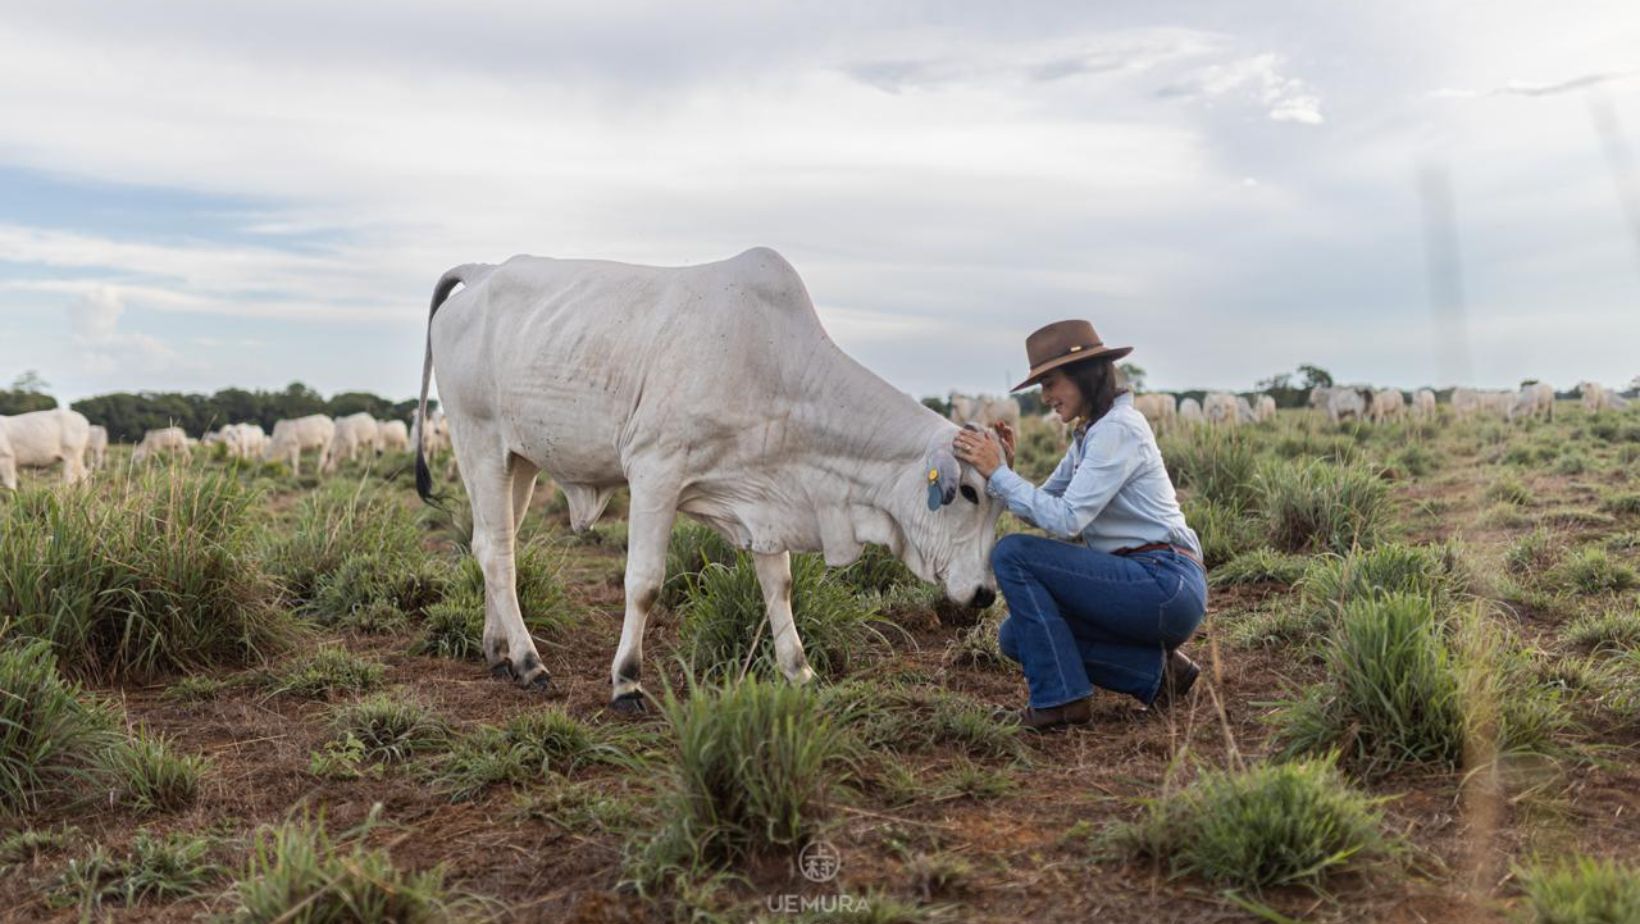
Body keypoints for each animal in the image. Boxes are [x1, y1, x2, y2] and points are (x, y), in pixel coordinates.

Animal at [414, 247, 1001, 709]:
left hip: (520, 460)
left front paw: (800, 670)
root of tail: (483, 271)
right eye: (969, 492)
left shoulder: (764, 497)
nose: (984, 595)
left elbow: (779, 585)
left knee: (493, 543)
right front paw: (626, 681)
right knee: (497, 552)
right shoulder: (655, 472)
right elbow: (644, 584)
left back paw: (498, 652)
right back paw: (529, 661)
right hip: (478, 442)